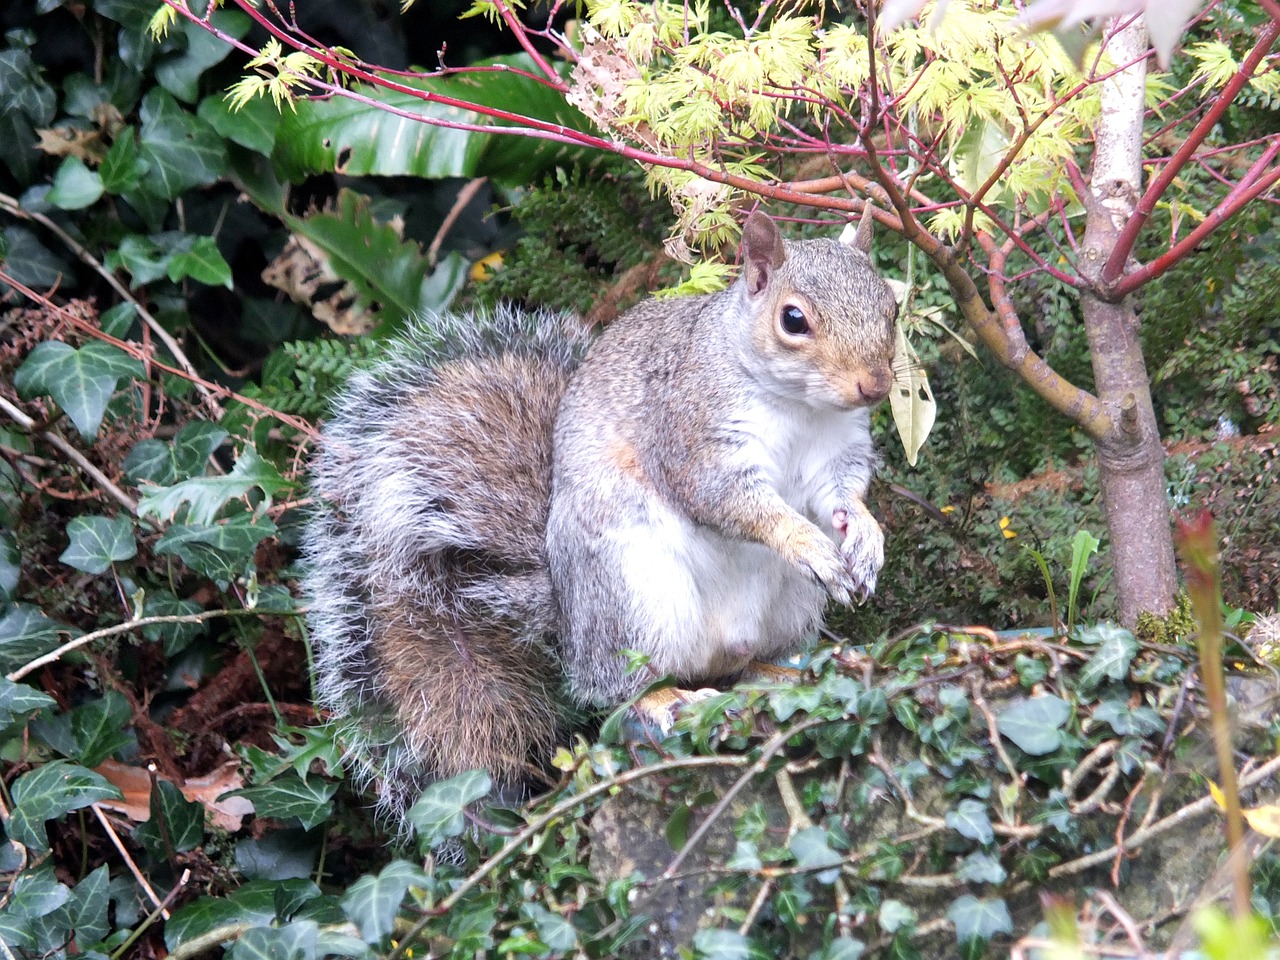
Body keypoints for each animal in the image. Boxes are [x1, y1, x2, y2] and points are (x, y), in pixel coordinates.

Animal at [302, 212, 901, 829]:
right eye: (793, 320)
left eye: (892, 308)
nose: (876, 385)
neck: (801, 409)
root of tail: (569, 629)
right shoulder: (691, 431)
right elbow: (726, 499)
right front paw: (805, 541)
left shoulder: (837, 454)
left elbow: (841, 496)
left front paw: (865, 536)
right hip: (636, 598)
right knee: (621, 689)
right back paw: (668, 699)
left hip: (783, 609)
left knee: (740, 666)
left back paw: (793, 672)